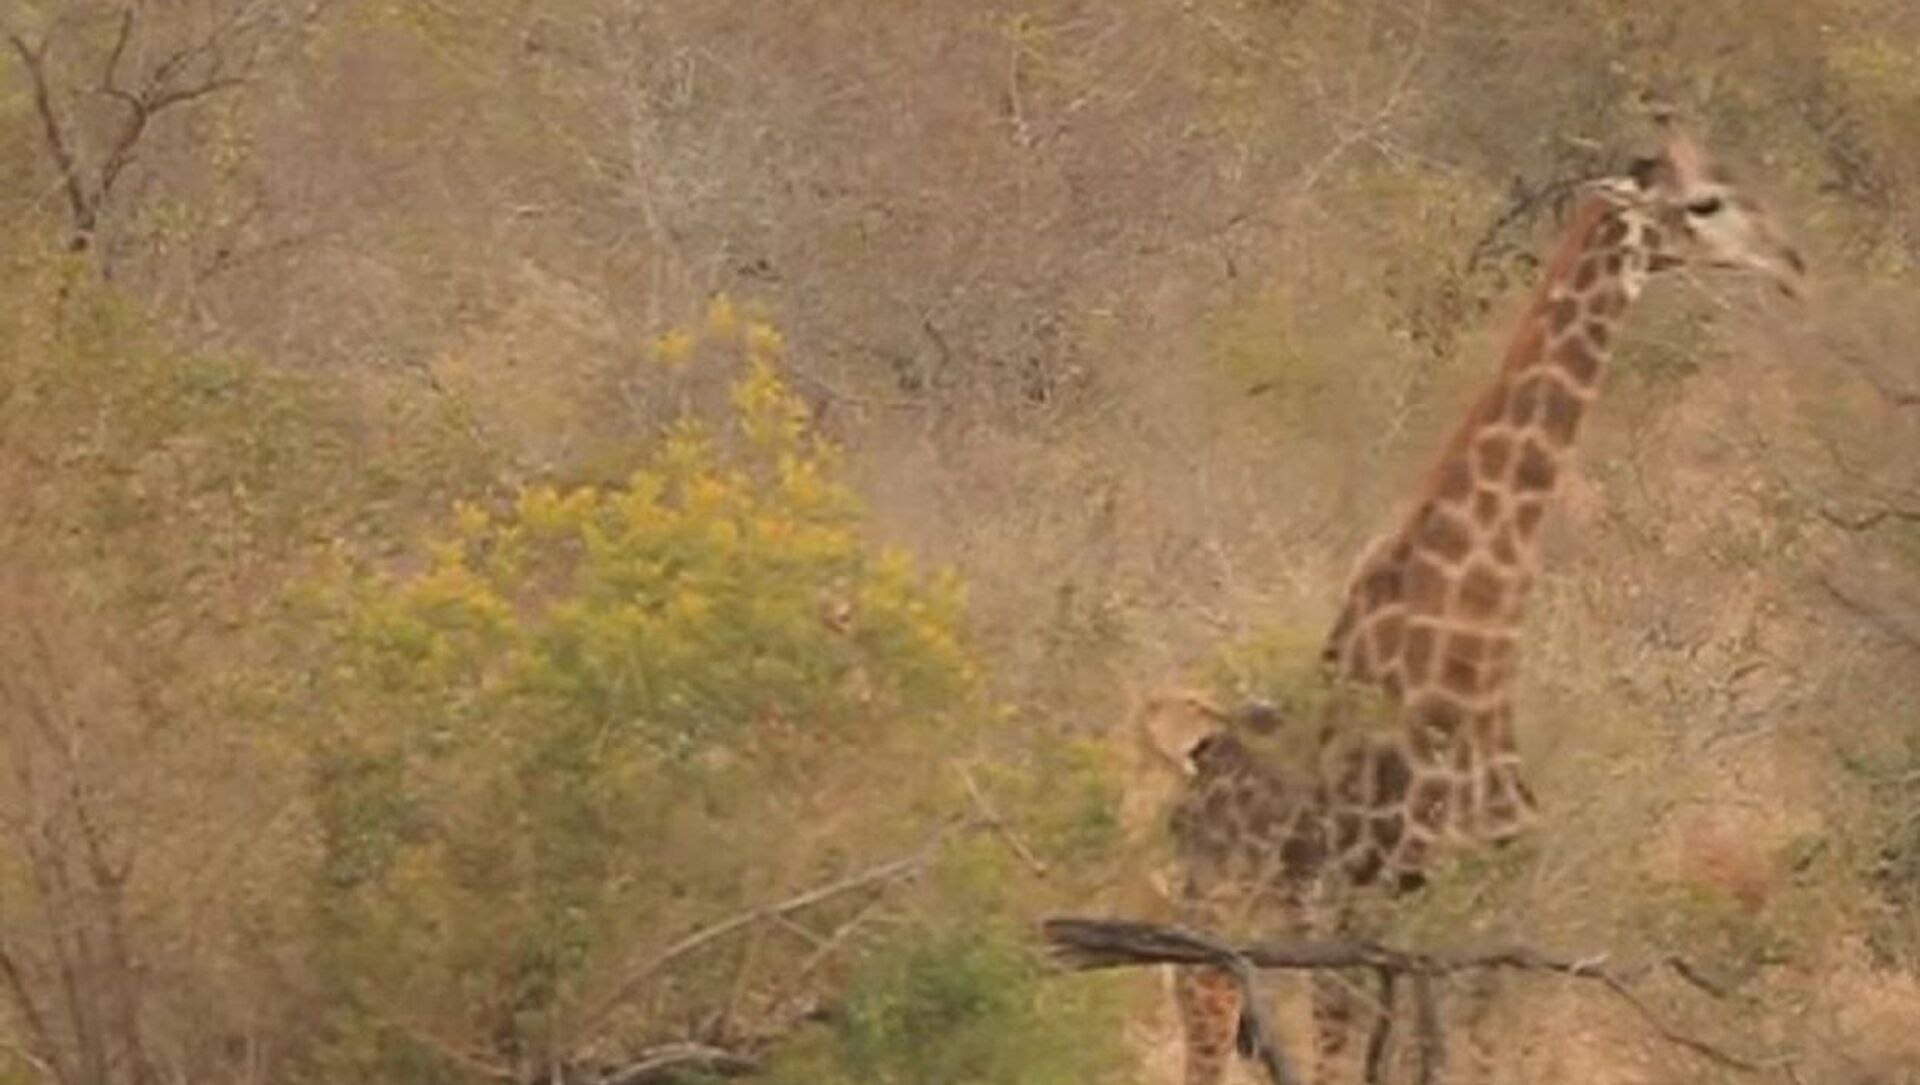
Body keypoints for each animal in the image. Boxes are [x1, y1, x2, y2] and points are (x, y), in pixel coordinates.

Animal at [1152, 118, 1797, 1083]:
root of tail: (1194, 778)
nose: (1790, 258)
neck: (1477, 644)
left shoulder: (1482, 908)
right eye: (1703, 203)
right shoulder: (1374, 899)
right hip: (1223, 923)